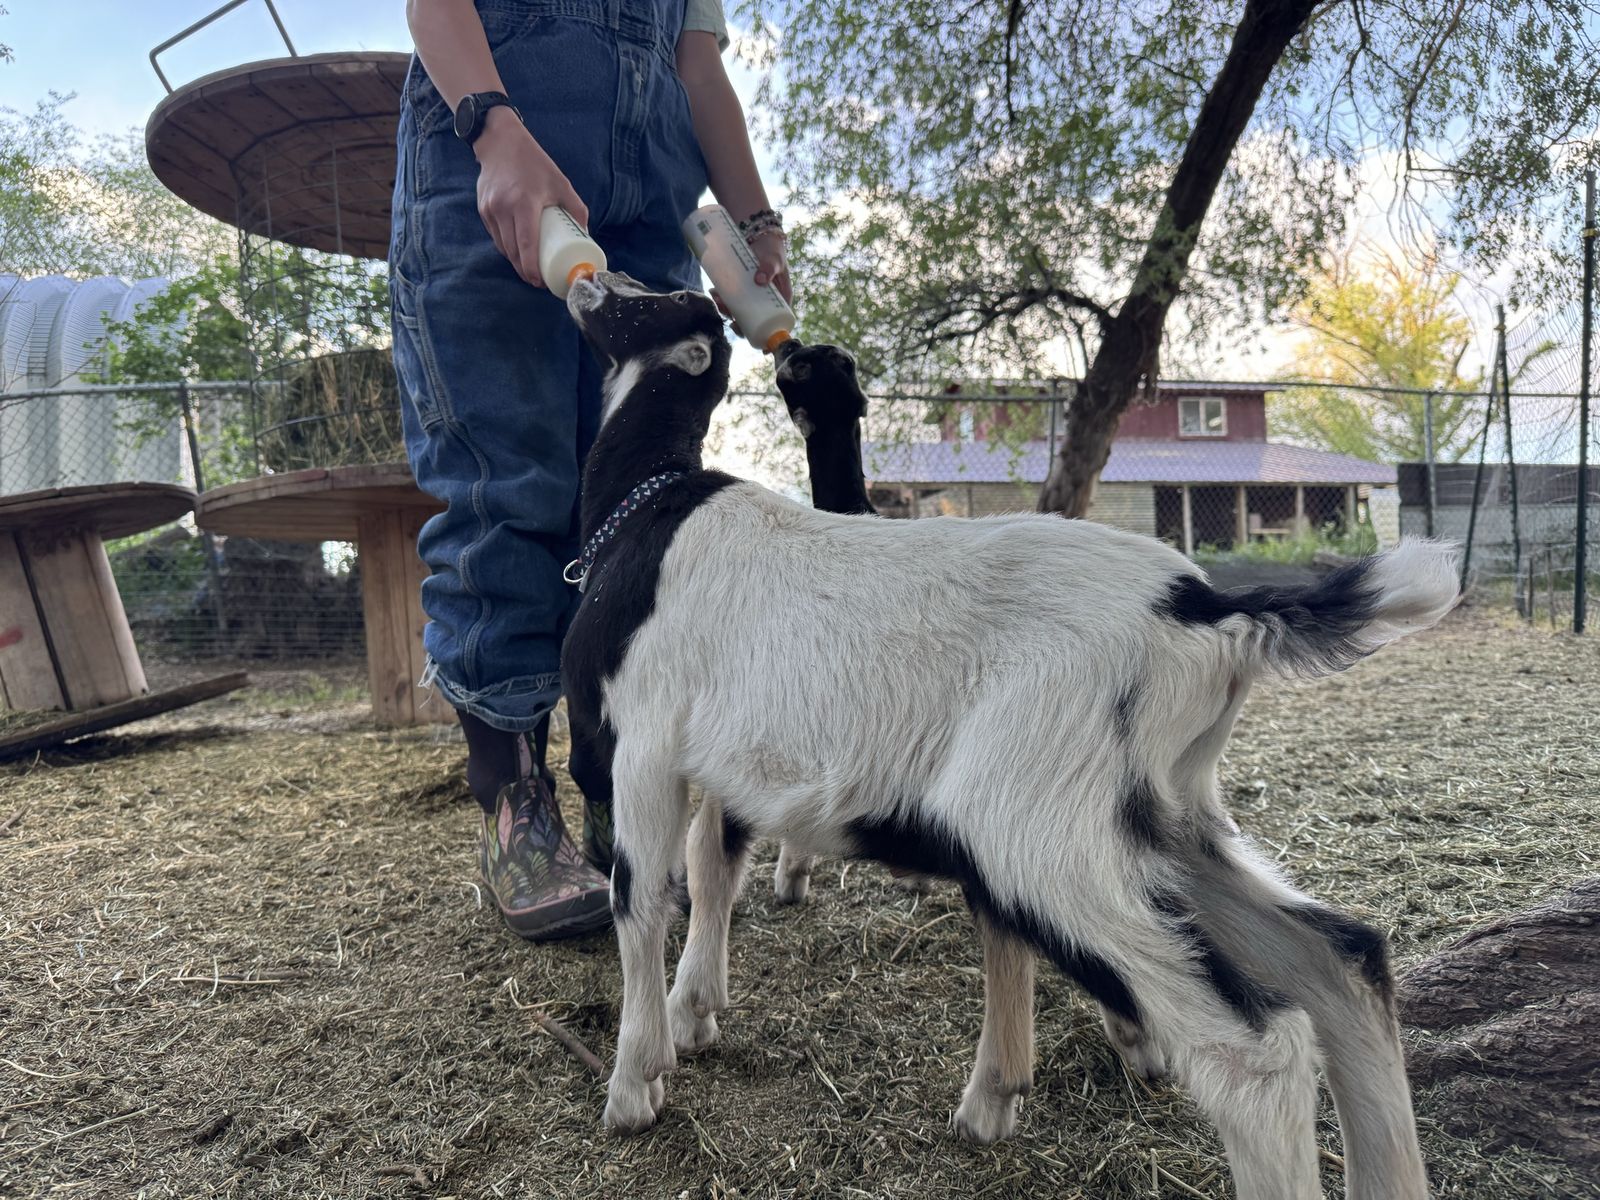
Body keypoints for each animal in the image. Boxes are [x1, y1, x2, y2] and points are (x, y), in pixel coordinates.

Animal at [561, 272, 1454, 1200]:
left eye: (640, 301)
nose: (585, 280)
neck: (648, 510)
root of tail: (1203, 610)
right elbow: (707, 867)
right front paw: (690, 1018)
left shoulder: (640, 745)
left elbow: (642, 896)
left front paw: (635, 1082)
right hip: (1160, 817)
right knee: (1342, 961)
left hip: (1034, 822)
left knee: (1253, 1049)